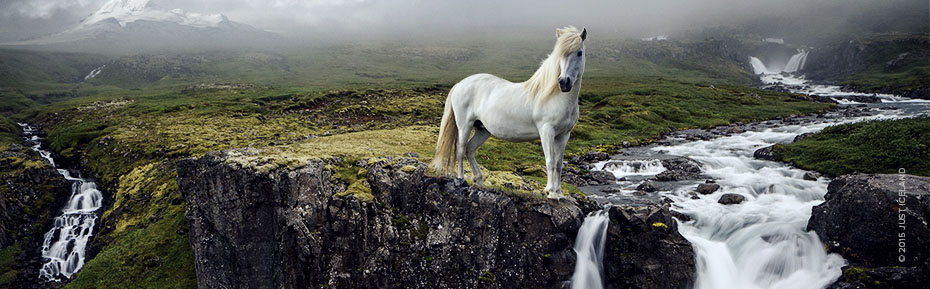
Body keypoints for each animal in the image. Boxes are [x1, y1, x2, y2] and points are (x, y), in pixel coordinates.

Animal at [430, 26, 588, 198]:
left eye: (579, 52)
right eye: (560, 54)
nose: (564, 83)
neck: (554, 96)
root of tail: (460, 84)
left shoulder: (564, 135)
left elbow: (559, 164)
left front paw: (558, 193)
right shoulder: (547, 132)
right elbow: (550, 161)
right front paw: (551, 192)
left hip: (482, 130)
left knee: (469, 149)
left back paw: (478, 178)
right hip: (464, 125)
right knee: (460, 149)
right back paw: (461, 179)